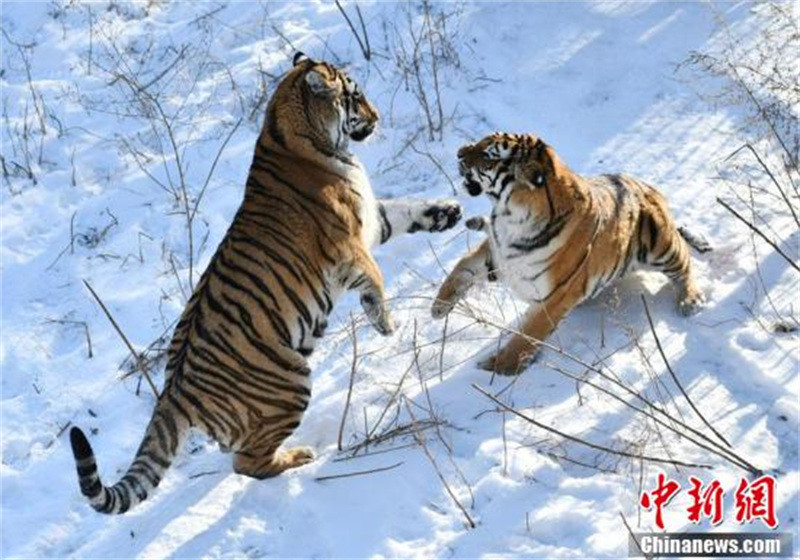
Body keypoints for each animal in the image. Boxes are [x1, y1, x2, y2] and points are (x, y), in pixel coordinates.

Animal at [69, 52, 462, 514]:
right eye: (356, 97)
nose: (377, 117)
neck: (293, 130)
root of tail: (172, 393)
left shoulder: (371, 221)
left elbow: (405, 210)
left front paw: (447, 213)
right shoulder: (348, 247)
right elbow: (376, 276)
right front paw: (384, 322)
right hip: (290, 384)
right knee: (246, 463)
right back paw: (299, 457)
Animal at [431, 132, 704, 375]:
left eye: (489, 154)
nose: (459, 153)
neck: (510, 218)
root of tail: (645, 185)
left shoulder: (557, 294)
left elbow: (529, 334)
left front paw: (499, 367)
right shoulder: (497, 254)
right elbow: (462, 267)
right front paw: (439, 307)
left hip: (661, 245)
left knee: (684, 262)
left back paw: (690, 301)